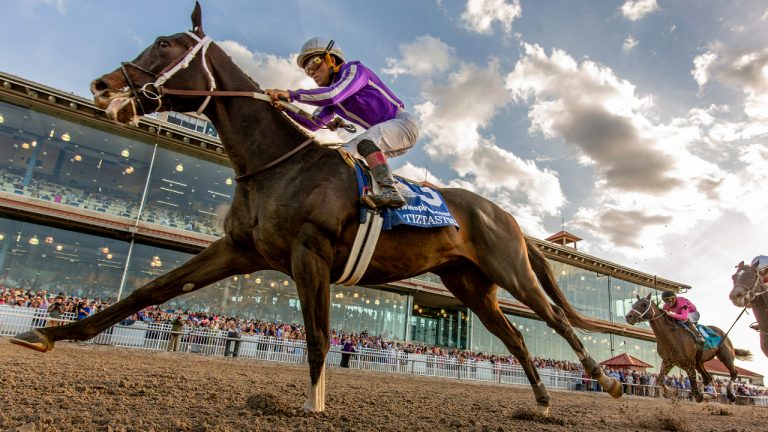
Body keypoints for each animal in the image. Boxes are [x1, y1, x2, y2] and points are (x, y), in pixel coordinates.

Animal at [10, 2, 622, 413]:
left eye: (165, 44)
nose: (102, 85)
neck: (276, 163)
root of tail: (507, 215)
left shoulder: (312, 254)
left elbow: (319, 334)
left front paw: (315, 405)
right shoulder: (239, 249)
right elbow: (150, 291)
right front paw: (49, 334)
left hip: (509, 269)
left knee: (554, 321)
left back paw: (606, 379)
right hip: (469, 285)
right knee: (517, 336)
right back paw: (541, 400)